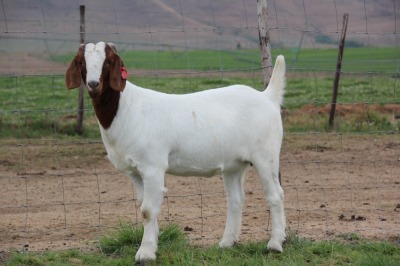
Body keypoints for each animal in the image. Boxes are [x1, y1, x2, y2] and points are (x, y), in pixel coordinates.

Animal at [65, 42, 284, 262]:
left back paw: (275, 244)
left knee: (275, 194)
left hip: (266, 155)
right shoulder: (135, 172)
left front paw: (145, 253)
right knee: (236, 199)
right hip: (234, 164)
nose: (93, 84)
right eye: (81, 61)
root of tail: (267, 97)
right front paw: (153, 245)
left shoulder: (152, 167)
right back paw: (226, 243)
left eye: (109, 61)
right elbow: (144, 207)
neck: (126, 108)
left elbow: (147, 210)